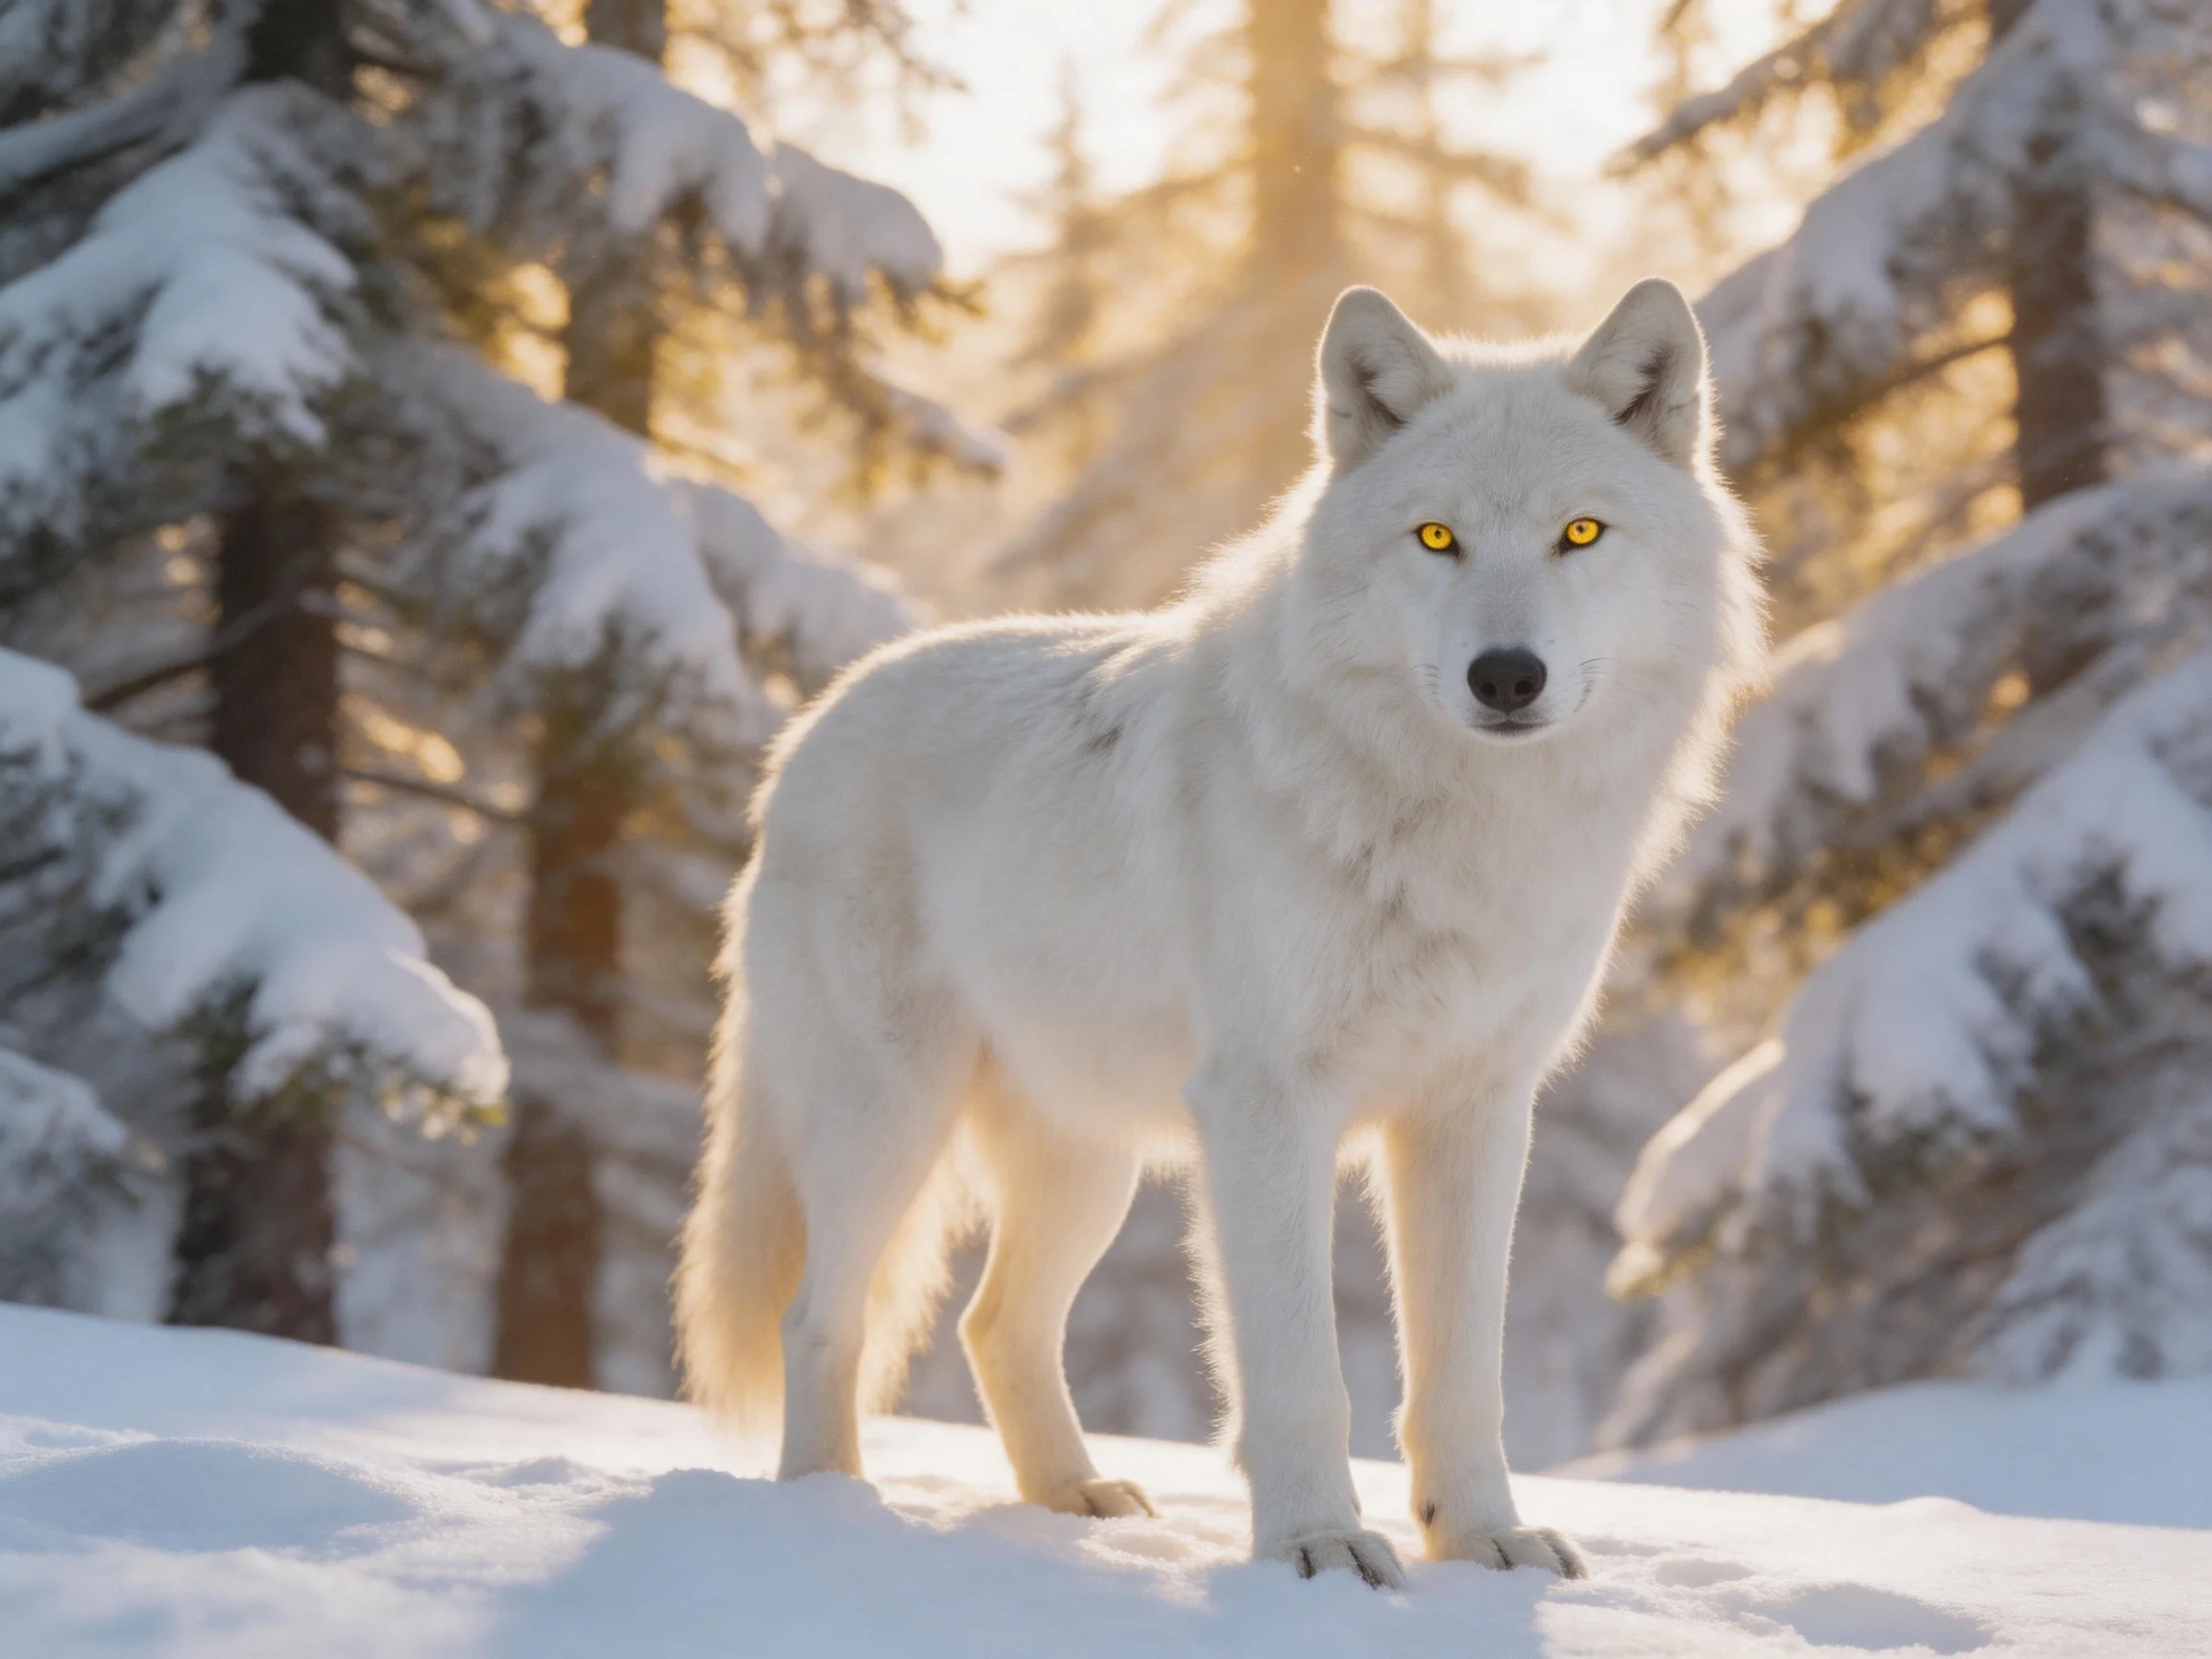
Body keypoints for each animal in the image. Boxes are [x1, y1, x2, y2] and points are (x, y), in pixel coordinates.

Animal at [676, 278, 1763, 1587]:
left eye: (1583, 534)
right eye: (1436, 539)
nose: (1507, 676)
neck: (1454, 830)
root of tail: (809, 727)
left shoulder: (1475, 1115)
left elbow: (1460, 1375)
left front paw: (1482, 1542)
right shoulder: (1267, 1111)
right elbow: (1300, 1374)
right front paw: (1320, 1548)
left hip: (1088, 1165)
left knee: (996, 1324)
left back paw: (1075, 1502)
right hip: (890, 1119)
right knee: (820, 1317)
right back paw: (831, 1515)